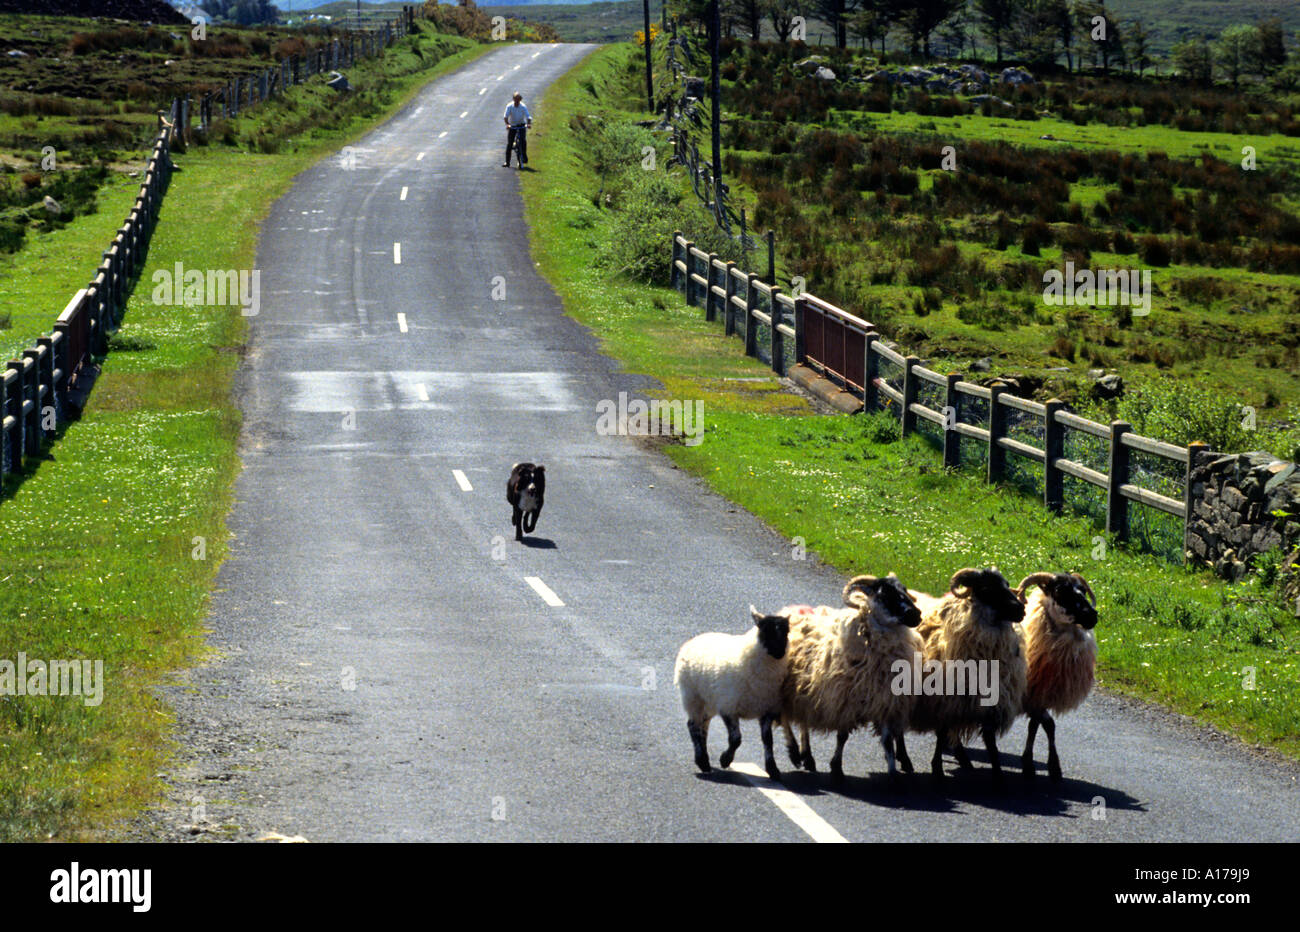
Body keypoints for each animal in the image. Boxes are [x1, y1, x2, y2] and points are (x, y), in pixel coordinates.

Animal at [670, 603, 790, 779]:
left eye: (786, 632)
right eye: (765, 631)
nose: (780, 652)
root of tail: (694, 639)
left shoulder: (767, 709)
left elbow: (768, 740)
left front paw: (772, 769)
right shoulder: (729, 707)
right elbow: (736, 739)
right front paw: (725, 759)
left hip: (710, 700)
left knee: (703, 725)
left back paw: (705, 759)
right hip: (692, 696)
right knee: (693, 726)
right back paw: (702, 761)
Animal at [769, 574, 925, 779]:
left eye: (904, 590)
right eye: (885, 593)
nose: (916, 614)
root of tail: (792, 610)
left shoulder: (884, 701)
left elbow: (887, 740)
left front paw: (892, 772)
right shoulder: (845, 700)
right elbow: (842, 736)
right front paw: (836, 768)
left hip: (805, 688)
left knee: (803, 721)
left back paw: (807, 756)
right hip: (787, 686)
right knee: (786, 717)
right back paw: (795, 752)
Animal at [894, 566, 1024, 779]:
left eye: (1006, 584)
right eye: (987, 588)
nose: (1021, 609)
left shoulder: (988, 704)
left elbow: (991, 743)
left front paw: (998, 773)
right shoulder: (945, 700)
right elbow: (941, 735)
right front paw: (937, 768)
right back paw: (905, 760)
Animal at [1013, 571, 1097, 779]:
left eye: (1082, 590)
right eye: (1060, 591)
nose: (1092, 616)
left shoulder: (1039, 696)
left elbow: (1041, 726)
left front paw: (1049, 766)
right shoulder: (1033, 697)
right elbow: (1045, 724)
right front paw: (1036, 765)